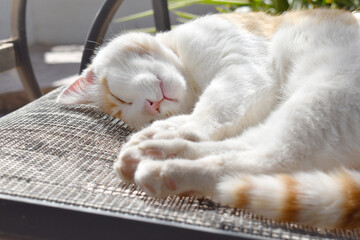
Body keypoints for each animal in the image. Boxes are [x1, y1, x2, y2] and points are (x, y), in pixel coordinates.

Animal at [57, 8, 360, 228]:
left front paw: (173, 127)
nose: (152, 107)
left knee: (276, 158)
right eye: (128, 107)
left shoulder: (243, 70)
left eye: (118, 97)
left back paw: (163, 168)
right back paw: (150, 155)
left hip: (323, 94)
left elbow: (210, 112)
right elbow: (211, 118)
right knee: (253, 152)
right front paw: (157, 129)